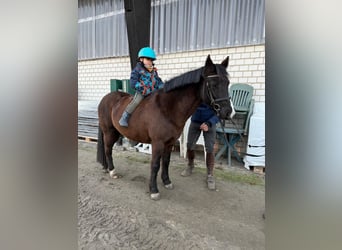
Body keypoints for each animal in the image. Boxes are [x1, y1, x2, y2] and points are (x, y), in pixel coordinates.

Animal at [96, 55, 232, 200]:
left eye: (227, 83)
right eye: (213, 84)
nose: (228, 112)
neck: (167, 108)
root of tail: (105, 98)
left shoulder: (169, 142)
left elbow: (166, 162)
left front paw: (167, 181)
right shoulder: (158, 143)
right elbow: (155, 165)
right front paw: (154, 190)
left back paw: (106, 168)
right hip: (109, 132)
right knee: (108, 149)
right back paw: (112, 171)